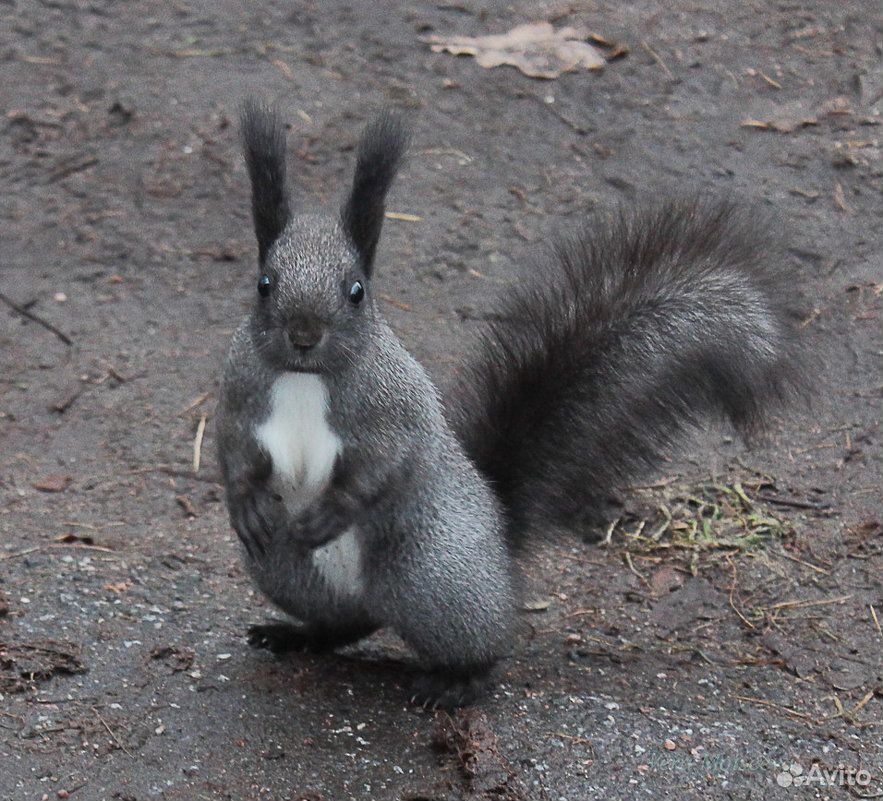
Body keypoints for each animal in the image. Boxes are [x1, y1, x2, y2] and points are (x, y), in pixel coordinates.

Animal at [216, 100, 800, 708]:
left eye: (356, 291)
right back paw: (297, 633)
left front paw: (331, 511)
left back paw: (457, 681)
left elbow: (384, 465)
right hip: (284, 567)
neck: (304, 380)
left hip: (433, 575)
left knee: (482, 642)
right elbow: (232, 448)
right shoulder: (239, 394)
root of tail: (500, 536)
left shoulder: (394, 411)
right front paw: (243, 502)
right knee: (345, 622)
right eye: (263, 283)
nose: (304, 335)